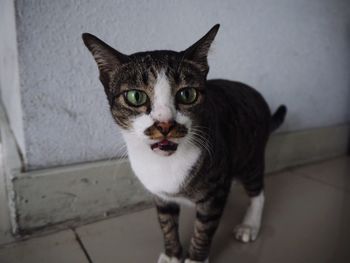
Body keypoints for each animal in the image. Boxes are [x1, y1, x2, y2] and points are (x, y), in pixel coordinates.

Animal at [82, 23, 288, 262]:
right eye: (135, 97)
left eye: (187, 94)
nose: (165, 124)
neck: (165, 164)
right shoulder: (160, 196)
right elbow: (167, 223)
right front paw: (172, 254)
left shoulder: (215, 192)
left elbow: (204, 229)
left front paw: (195, 257)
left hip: (249, 155)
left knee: (257, 189)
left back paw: (249, 225)